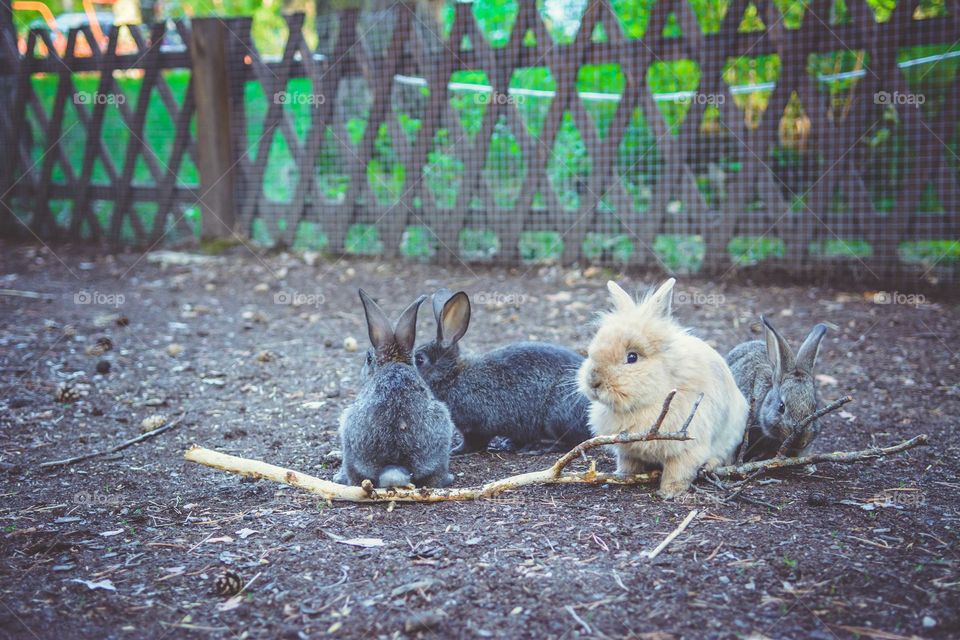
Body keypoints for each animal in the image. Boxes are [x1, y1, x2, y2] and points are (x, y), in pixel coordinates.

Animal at [412, 290, 592, 456]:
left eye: (419, 359)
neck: (452, 375)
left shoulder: (476, 426)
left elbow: (474, 442)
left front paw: (455, 451)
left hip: (557, 415)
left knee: (571, 442)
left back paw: (536, 448)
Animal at [576, 278, 752, 498]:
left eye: (632, 357)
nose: (593, 382)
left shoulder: (687, 447)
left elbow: (678, 471)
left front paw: (669, 492)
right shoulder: (627, 450)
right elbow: (629, 463)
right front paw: (623, 476)